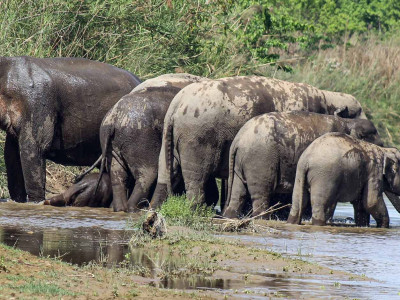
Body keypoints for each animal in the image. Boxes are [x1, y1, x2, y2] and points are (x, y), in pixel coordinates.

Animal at [95, 73, 205, 212]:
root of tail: (113, 118)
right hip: (140, 137)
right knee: (148, 173)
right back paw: (135, 209)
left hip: (113, 145)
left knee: (118, 175)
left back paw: (121, 209)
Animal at [151, 76, 368, 210]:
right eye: (356, 113)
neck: (327, 96)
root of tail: (176, 106)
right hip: (197, 138)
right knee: (196, 178)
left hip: (172, 136)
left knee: (167, 173)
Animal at [223, 110, 382, 218]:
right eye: (379, 143)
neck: (348, 122)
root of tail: (238, 139)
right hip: (260, 159)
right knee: (261, 194)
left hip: (241, 162)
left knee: (238, 192)